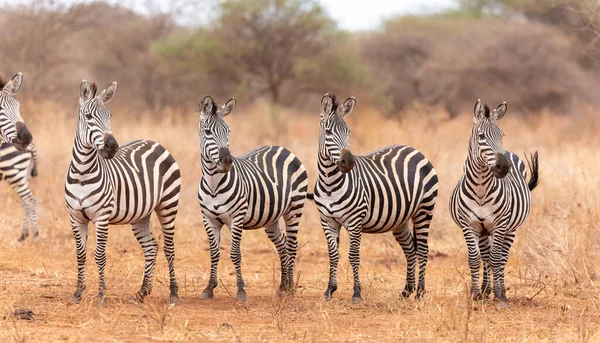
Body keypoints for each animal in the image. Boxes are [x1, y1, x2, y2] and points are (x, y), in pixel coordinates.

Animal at [65, 81, 182, 306]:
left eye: (109, 115)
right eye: (88, 116)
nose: (112, 147)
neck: (83, 173)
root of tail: (154, 142)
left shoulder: (101, 217)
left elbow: (100, 255)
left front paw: (101, 295)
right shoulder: (76, 218)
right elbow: (80, 254)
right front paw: (78, 292)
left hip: (168, 205)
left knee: (169, 248)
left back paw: (173, 294)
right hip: (141, 214)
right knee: (151, 247)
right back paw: (142, 292)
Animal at [198, 95, 310, 302]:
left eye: (228, 131)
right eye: (207, 131)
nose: (226, 161)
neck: (214, 184)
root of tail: (282, 147)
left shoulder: (236, 218)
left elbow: (235, 254)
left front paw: (241, 290)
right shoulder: (208, 219)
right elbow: (214, 253)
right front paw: (209, 288)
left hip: (294, 209)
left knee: (291, 245)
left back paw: (290, 288)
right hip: (271, 219)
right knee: (282, 245)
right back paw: (283, 286)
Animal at [308, 93, 438, 304]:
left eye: (348, 131)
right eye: (327, 131)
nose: (348, 162)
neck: (329, 184)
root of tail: (414, 149)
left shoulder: (354, 221)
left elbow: (353, 255)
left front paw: (356, 293)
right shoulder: (327, 221)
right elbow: (333, 255)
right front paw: (329, 290)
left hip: (424, 211)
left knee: (423, 249)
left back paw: (419, 293)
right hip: (400, 220)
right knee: (410, 250)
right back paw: (406, 291)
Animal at [448, 99, 540, 306]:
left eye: (502, 135)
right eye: (481, 136)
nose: (503, 166)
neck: (481, 189)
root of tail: (511, 153)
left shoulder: (500, 224)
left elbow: (497, 259)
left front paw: (498, 296)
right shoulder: (469, 225)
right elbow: (475, 259)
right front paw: (475, 294)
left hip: (510, 229)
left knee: (501, 258)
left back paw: (501, 291)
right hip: (483, 231)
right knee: (486, 257)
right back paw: (484, 290)